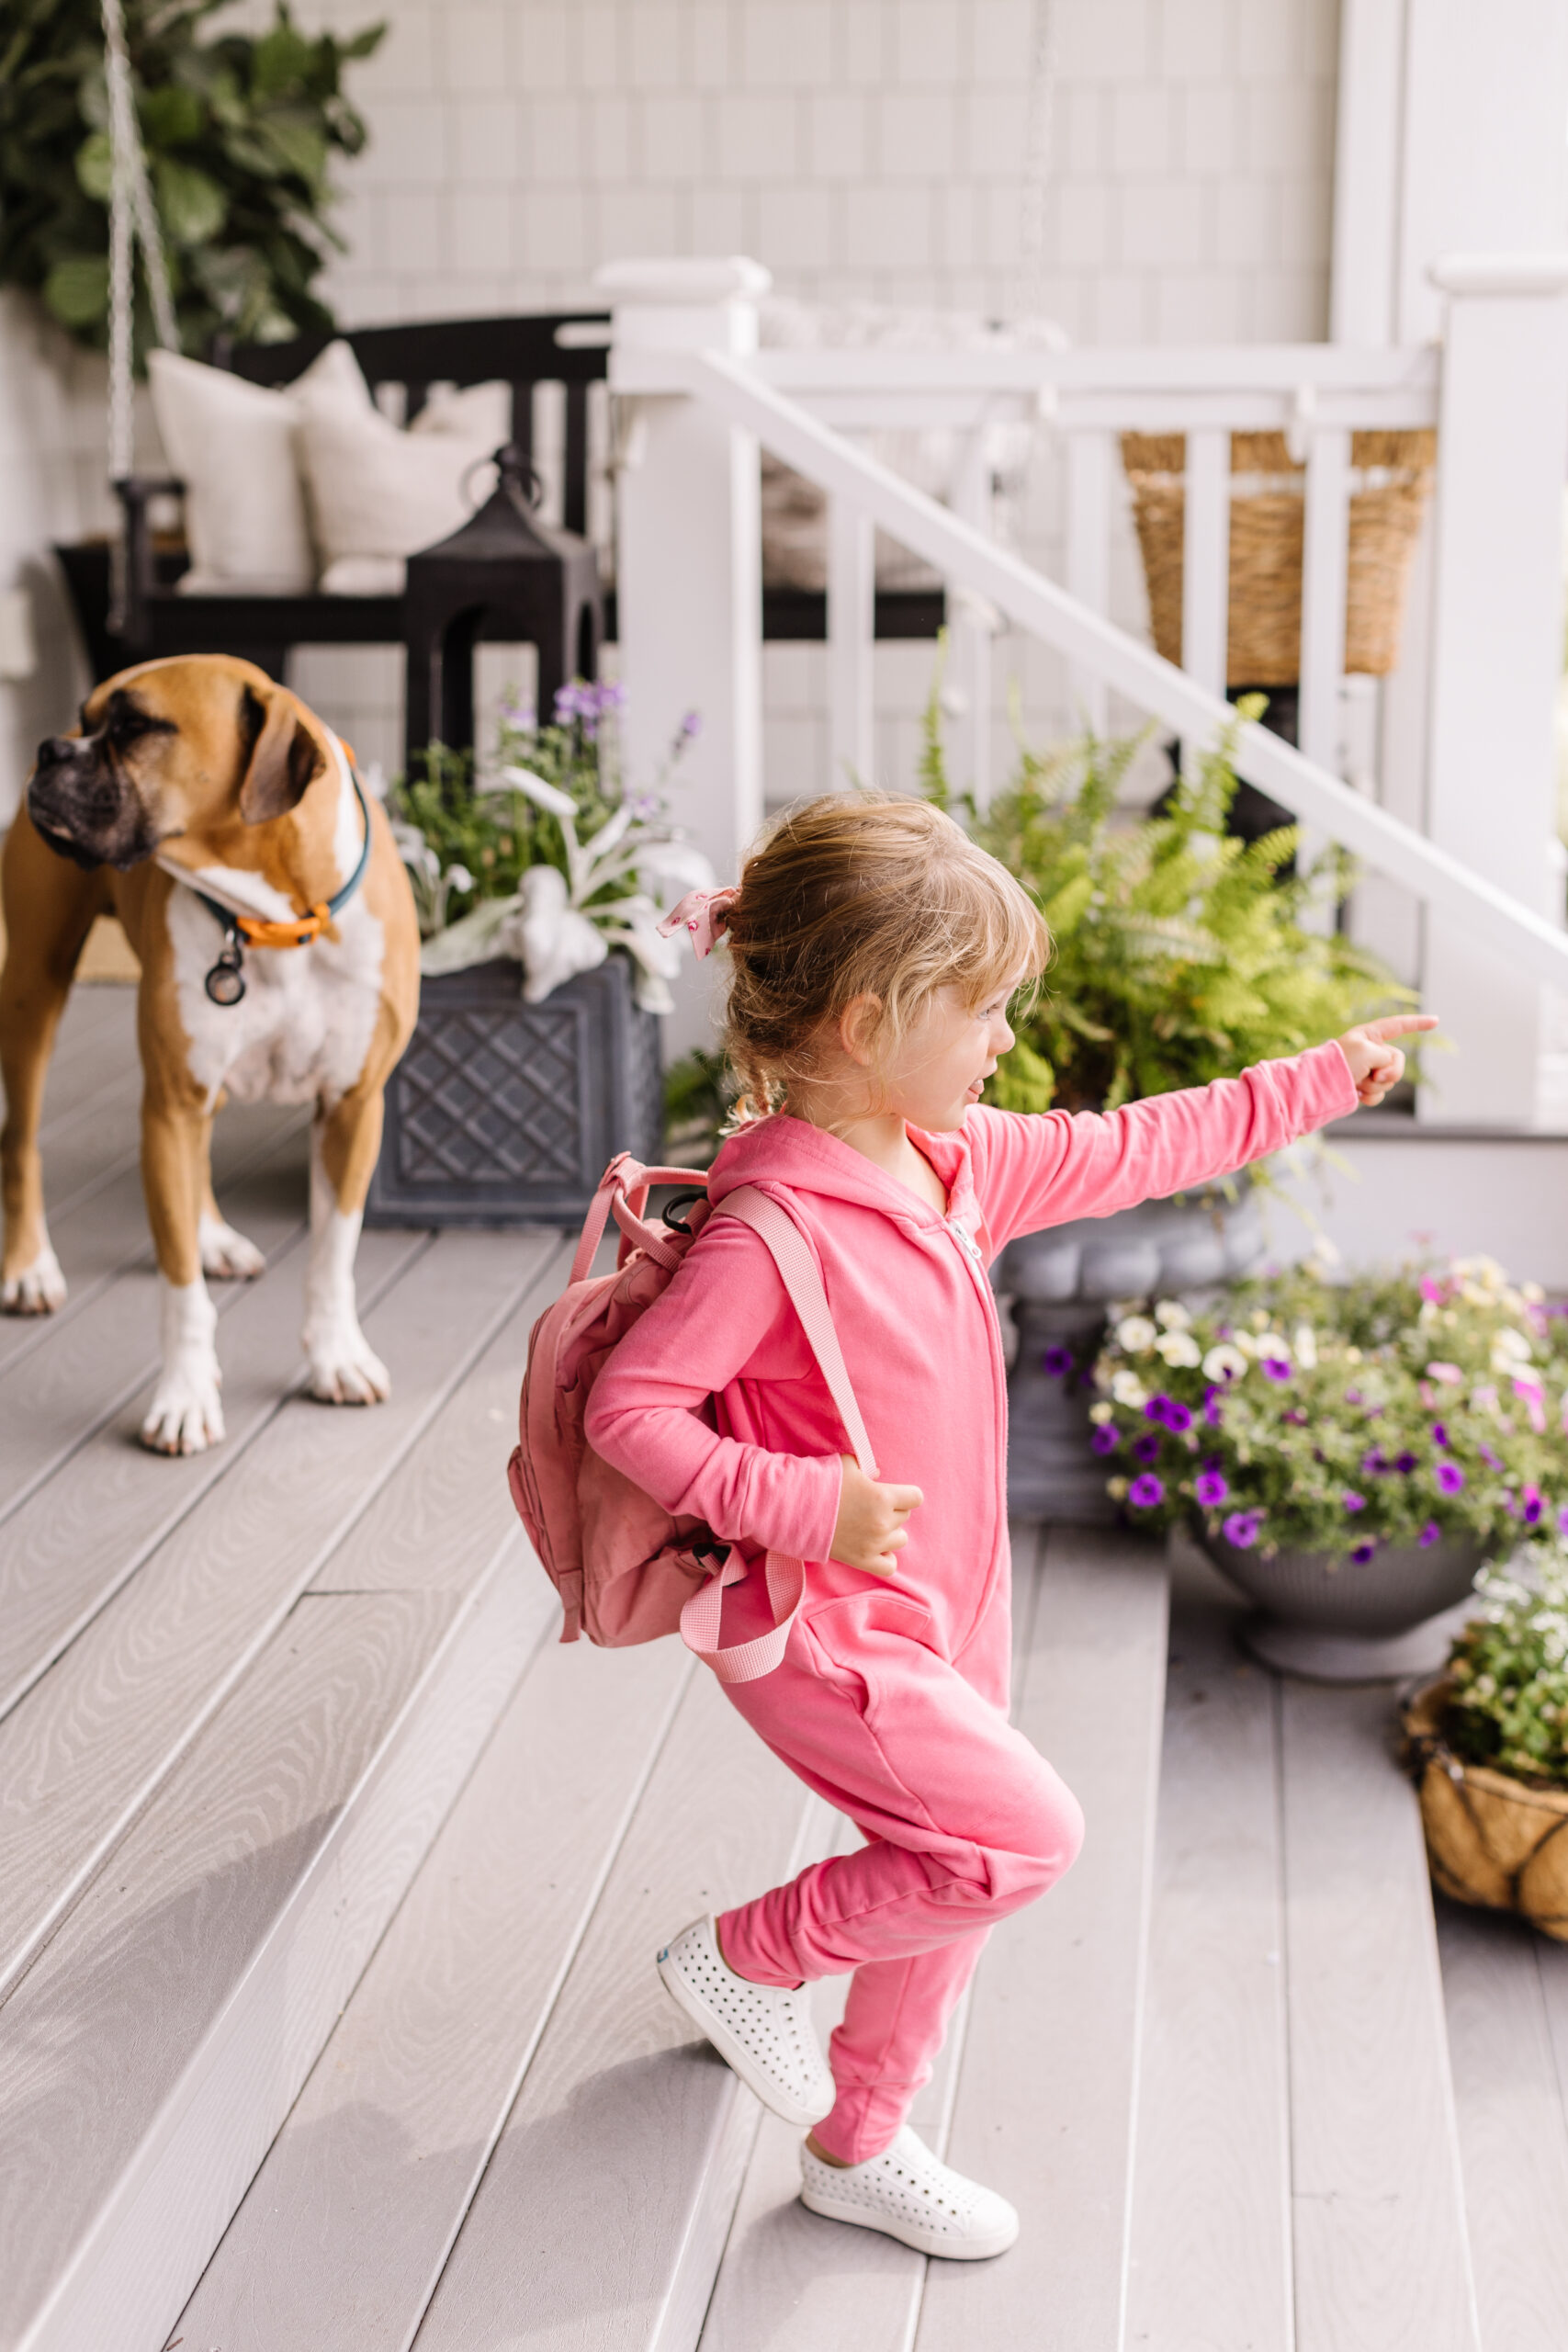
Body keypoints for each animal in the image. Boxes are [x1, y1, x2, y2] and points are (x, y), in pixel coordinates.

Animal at [0, 653, 423, 1439]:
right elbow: (180, 1290)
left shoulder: (352, 1107)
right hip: (33, 989)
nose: (49, 749)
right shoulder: (168, 1105)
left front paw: (336, 1357)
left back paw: (213, 1236)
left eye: (136, 727)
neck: (275, 916)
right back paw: (29, 1266)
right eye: (86, 718)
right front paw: (185, 1393)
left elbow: (333, 1256)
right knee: (21, 1141)